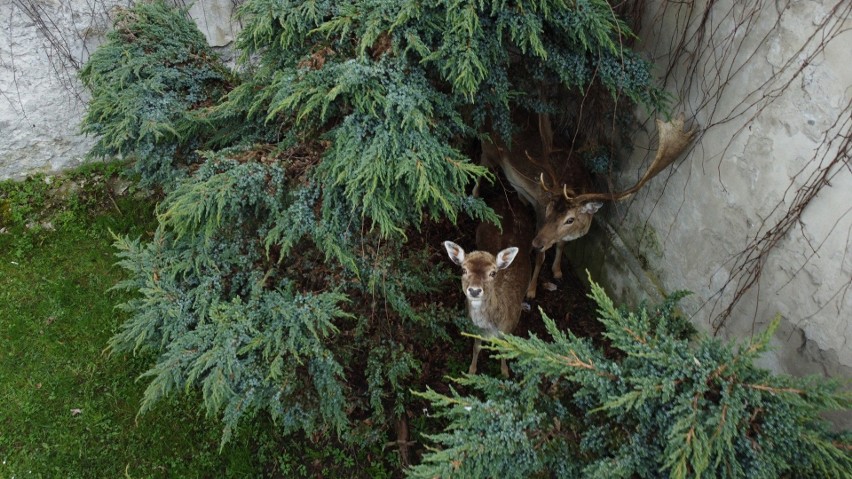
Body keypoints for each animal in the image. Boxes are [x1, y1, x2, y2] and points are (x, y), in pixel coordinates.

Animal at [446, 188, 532, 378]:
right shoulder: (474, 330)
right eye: (463, 270)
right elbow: (476, 347)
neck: (490, 328)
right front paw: (471, 371)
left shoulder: (509, 330)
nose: (475, 291)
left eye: (493, 273)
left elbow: (504, 350)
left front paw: (505, 372)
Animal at [482, 113, 696, 300]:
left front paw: (557, 271)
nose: (535, 243)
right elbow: (541, 257)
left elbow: (561, 245)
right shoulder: (540, 212)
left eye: (570, 219)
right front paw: (531, 290)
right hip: (488, 150)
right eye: (548, 208)